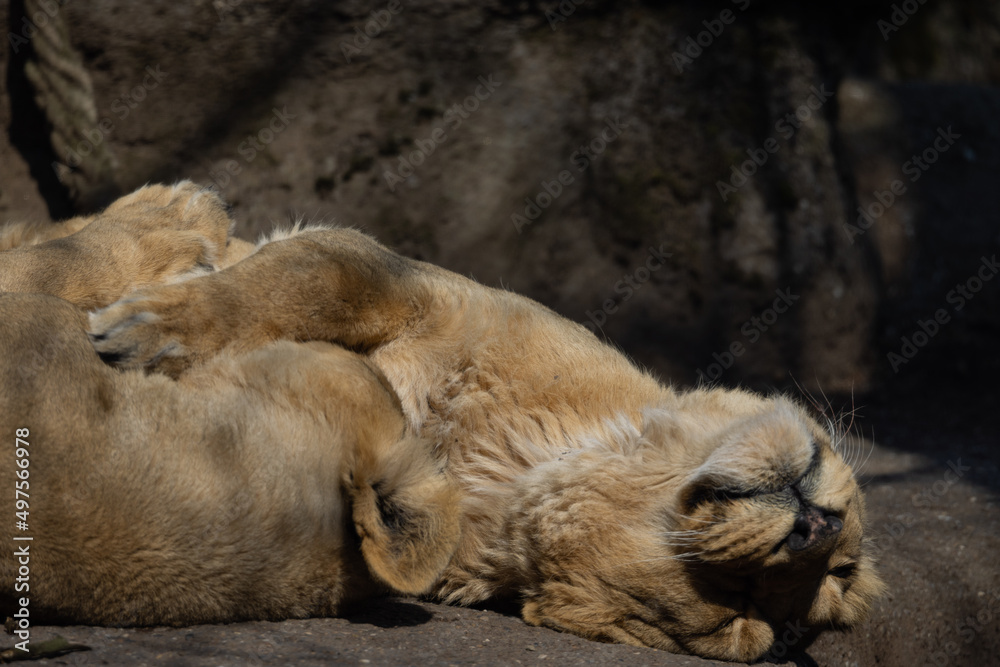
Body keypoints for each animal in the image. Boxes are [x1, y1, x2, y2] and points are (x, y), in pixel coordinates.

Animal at [88, 209, 886, 662]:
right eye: (843, 570)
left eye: (741, 608)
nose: (815, 528)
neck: (510, 455)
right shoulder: (428, 289)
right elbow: (312, 274)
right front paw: (147, 331)